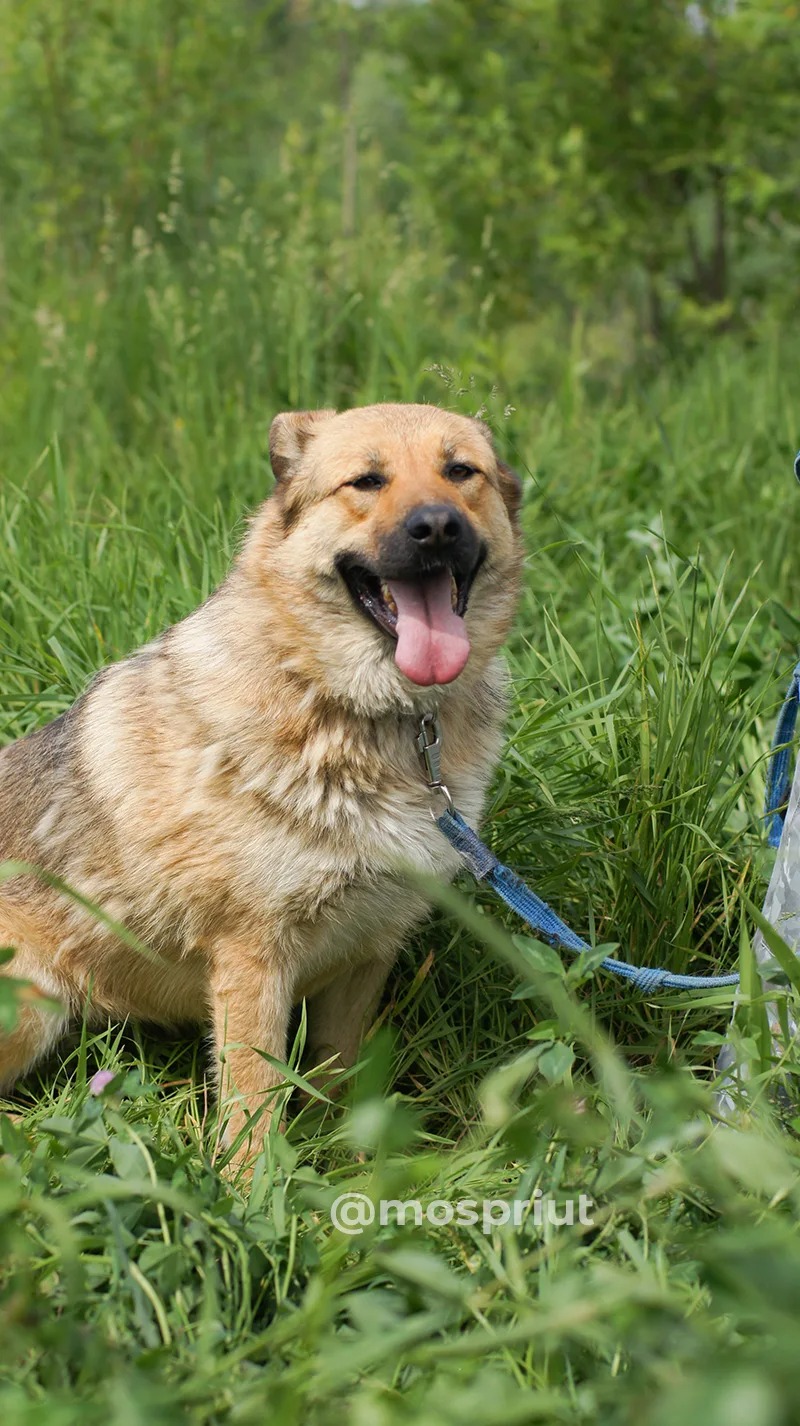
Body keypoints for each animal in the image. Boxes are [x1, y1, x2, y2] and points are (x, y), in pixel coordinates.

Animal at [0, 407, 521, 1163]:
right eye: (366, 481)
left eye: (460, 472)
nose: (436, 527)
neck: (360, 714)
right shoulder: (252, 958)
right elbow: (254, 1107)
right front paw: (255, 1191)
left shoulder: (368, 953)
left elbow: (341, 1082)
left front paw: (350, 1167)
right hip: (29, 1004)